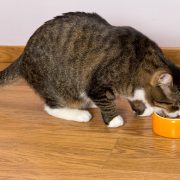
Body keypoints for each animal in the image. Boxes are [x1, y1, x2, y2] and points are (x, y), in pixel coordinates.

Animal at [0, 12, 179, 128]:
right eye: (175, 104)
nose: (177, 115)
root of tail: (23, 54)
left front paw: (141, 109)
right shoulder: (98, 83)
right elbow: (106, 102)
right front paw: (114, 120)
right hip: (57, 86)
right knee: (51, 106)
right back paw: (80, 113)